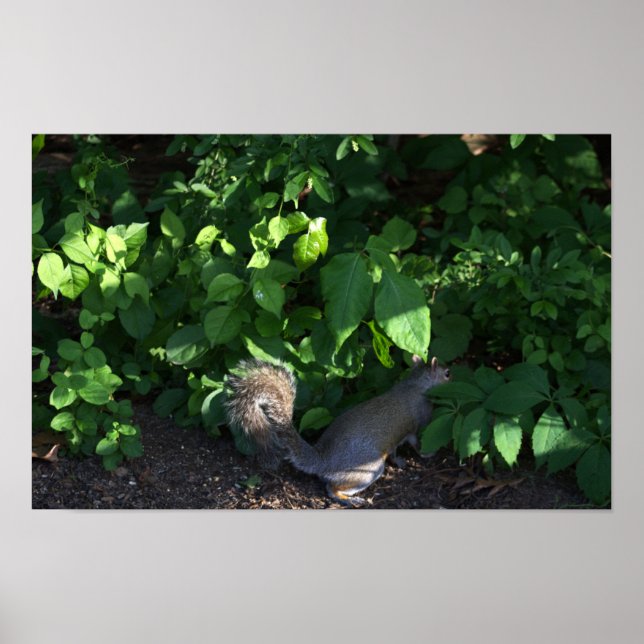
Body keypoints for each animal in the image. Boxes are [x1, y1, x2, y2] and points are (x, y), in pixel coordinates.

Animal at [225, 355, 450, 506]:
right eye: (447, 373)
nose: (453, 374)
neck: (415, 385)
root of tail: (323, 460)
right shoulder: (420, 421)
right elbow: (418, 442)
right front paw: (428, 454)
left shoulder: (396, 437)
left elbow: (395, 449)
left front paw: (400, 461)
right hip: (368, 470)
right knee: (332, 489)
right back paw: (350, 499)